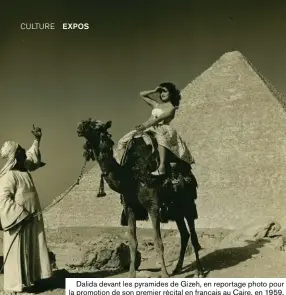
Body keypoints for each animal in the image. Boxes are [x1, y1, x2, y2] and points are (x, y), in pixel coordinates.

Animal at [76, 118, 206, 280]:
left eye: (95, 126)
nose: (79, 127)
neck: (131, 176)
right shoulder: (129, 207)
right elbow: (133, 241)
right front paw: (132, 275)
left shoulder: (153, 205)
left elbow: (158, 241)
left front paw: (164, 275)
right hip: (175, 209)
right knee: (184, 234)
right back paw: (177, 268)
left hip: (187, 202)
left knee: (193, 235)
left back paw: (199, 271)